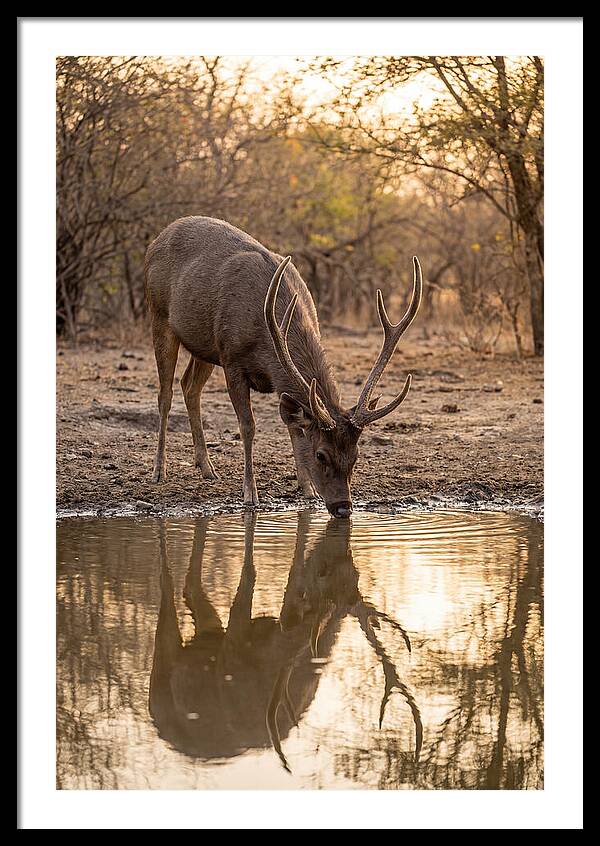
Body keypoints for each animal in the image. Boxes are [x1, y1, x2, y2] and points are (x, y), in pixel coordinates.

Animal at [144, 216, 422, 517]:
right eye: (321, 454)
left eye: (356, 455)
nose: (343, 507)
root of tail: (156, 240)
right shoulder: (232, 359)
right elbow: (248, 426)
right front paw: (250, 494)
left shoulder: (273, 377)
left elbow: (293, 427)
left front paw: (307, 489)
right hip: (159, 315)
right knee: (165, 394)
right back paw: (159, 471)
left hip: (203, 346)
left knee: (189, 386)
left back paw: (207, 468)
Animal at [149, 510, 422, 772]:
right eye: (323, 571)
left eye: (356, 574)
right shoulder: (232, 651)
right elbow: (252, 576)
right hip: (162, 676)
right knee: (167, 601)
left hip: (208, 634)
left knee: (191, 590)